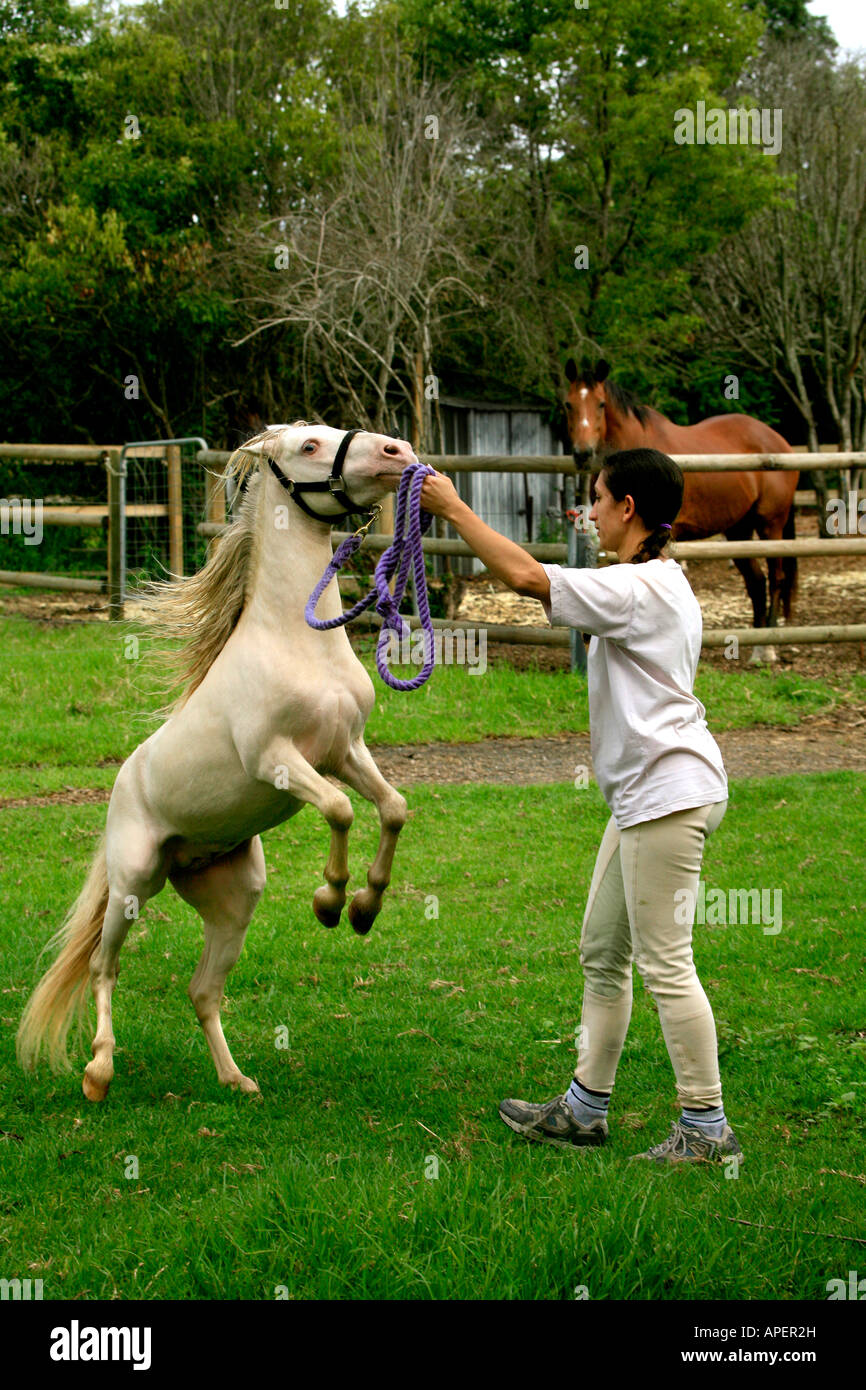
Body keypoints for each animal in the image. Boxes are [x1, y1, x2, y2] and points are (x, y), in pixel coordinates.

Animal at [17, 423, 416, 1101]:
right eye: (310, 446)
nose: (399, 453)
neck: (297, 640)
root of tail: (123, 785)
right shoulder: (275, 760)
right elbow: (340, 810)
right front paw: (330, 900)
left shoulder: (346, 751)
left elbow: (391, 808)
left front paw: (364, 909)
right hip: (133, 883)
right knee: (102, 966)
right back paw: (98, 1072)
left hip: (235, 897)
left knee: (202, 991)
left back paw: (237, 1080)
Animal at [564, 359, 799, 663]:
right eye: (568, 404)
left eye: (601, 404)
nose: (583, 453)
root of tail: (779, 441)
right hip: (739, 530)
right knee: (756, 582)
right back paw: (757, 645)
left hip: (771, 525)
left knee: (776, 579)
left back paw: (768, 647)